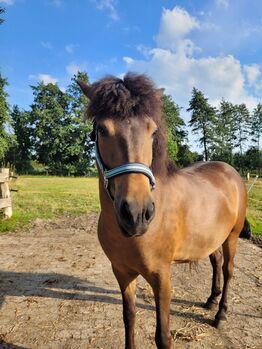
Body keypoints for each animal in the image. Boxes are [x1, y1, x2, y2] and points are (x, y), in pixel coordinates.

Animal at [78, 73, 248, 348]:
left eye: (153, 130)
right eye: (102, 130)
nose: (137, 213)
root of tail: (230, 170)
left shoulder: (162, 277)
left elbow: (163, 336)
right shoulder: (122, 272)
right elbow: (129, 319)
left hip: (231, 237)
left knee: (228, 269)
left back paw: (221, 313)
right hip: (212, 238)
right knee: (216, 261)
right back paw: (211, 300)